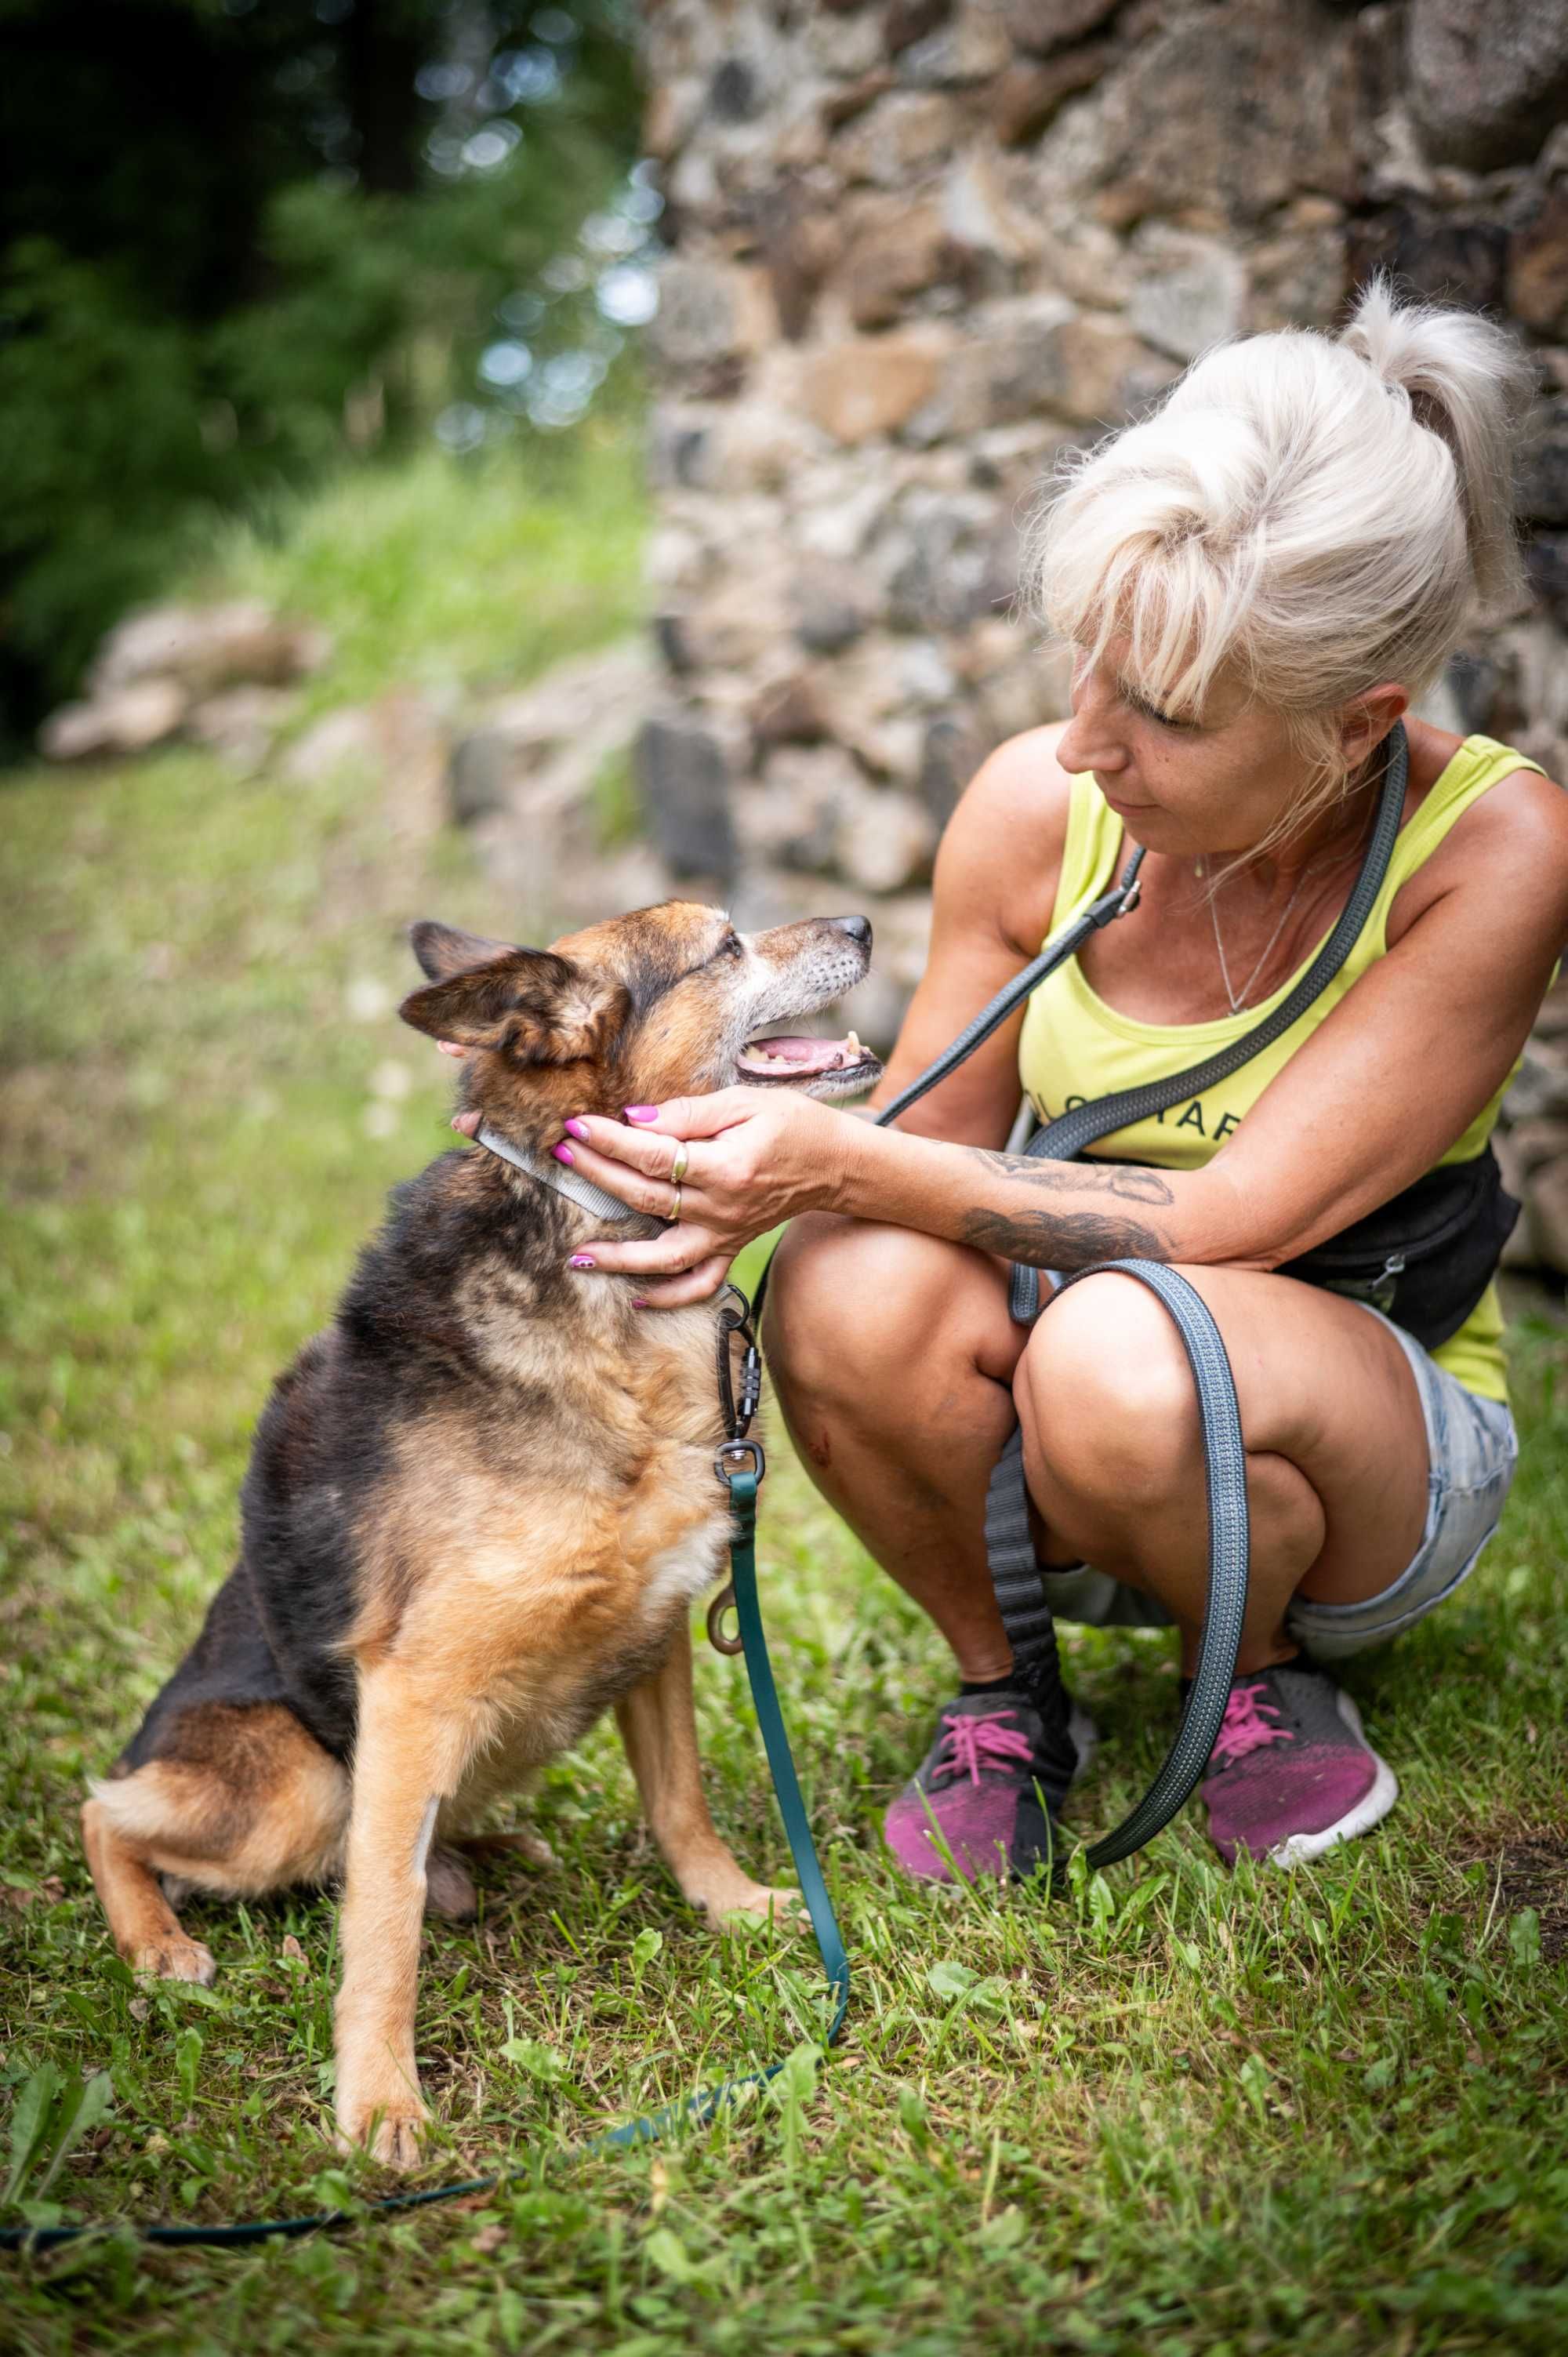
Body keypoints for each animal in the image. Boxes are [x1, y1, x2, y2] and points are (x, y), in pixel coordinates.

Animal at [82, 905, 881, 2168]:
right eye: (724, 945)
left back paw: (495, 1848)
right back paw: (159, 1940)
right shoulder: (412, 1687)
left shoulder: (654, 1630)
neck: (598, 1267)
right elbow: (385, 1924)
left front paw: (734, 1902)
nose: (861, 919)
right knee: (109, 1809)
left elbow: (680, 1802)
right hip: (296, 1783)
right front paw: (378, 2100)